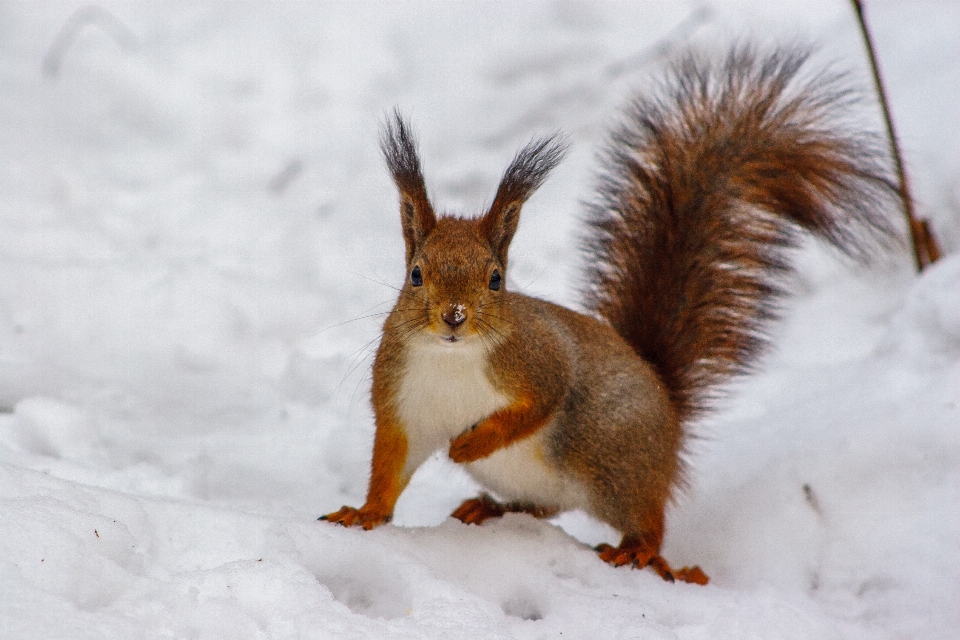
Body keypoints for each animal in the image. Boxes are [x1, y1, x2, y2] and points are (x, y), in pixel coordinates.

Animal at [318, 45, 896, 584]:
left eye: (496, 279)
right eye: (416, 274)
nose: (454, 317)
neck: (451, 360)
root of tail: (667, 407)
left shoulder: (542, 361)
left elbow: (539, 404)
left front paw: (471, 443)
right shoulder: (403, 401)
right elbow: (390, 465)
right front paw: (364, 513)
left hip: (613, 462)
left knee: (648, 521)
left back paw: (640, 552)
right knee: (543, 507)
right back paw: (488, 507)